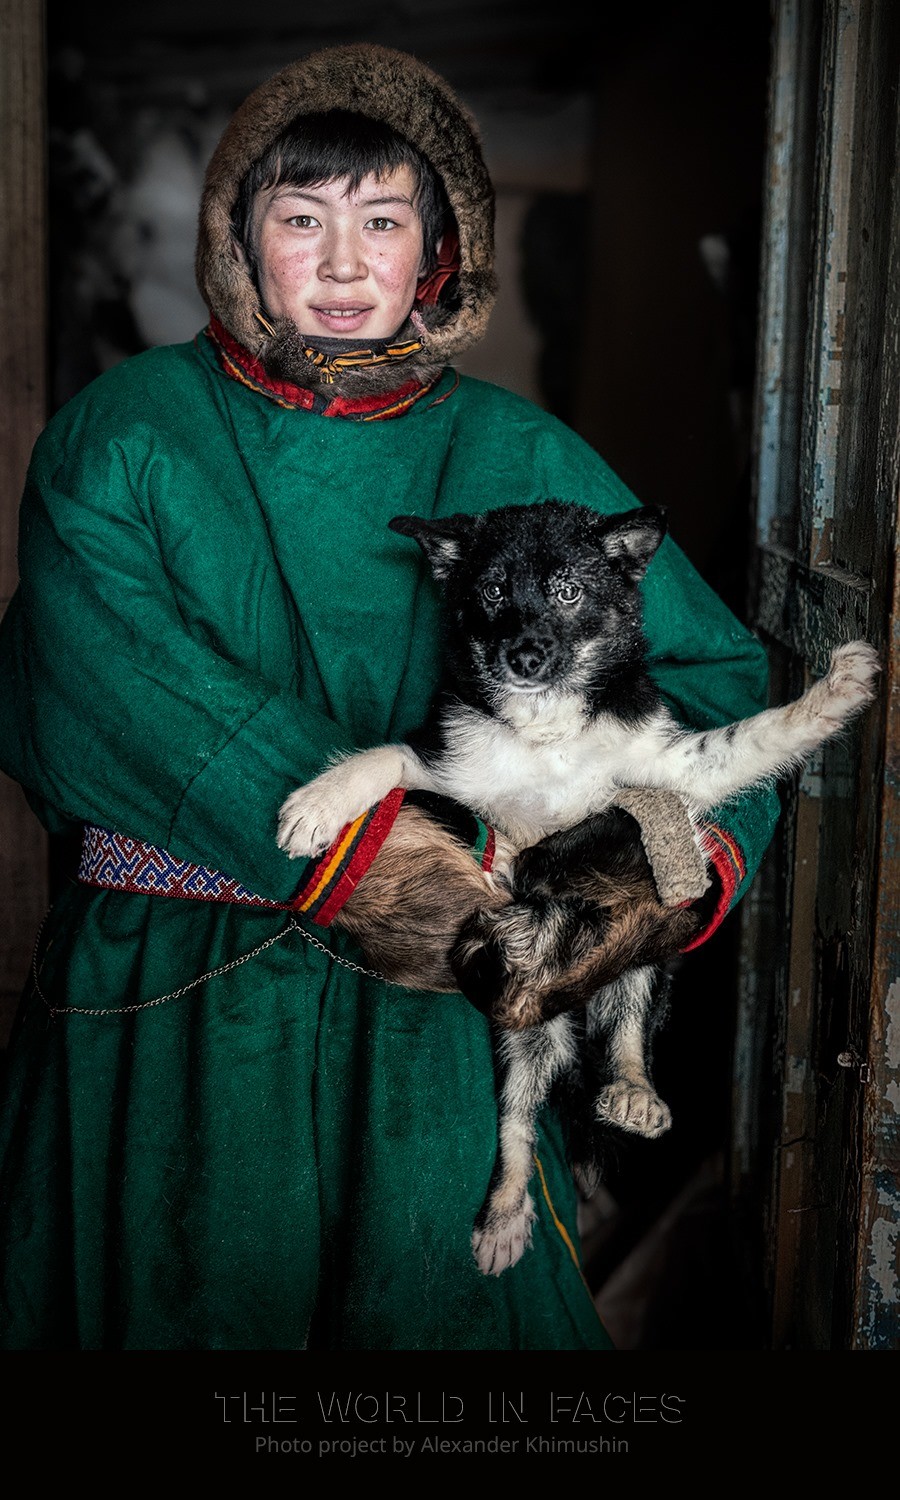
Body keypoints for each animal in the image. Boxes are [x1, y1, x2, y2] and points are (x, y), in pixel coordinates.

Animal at [276, 501, 876, 1266]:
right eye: (493, 591)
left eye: (568, 592)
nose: (525, 657)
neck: (546, 730)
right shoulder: (452, 770)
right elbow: (388, 756)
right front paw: (320, 804)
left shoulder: (669, 770)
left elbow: (745, 739)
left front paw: (834, 693)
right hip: (523, 1029)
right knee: (517, 1121)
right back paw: (504, 1216)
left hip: (645, 957)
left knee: (628, 1028)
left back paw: (631, 1090)